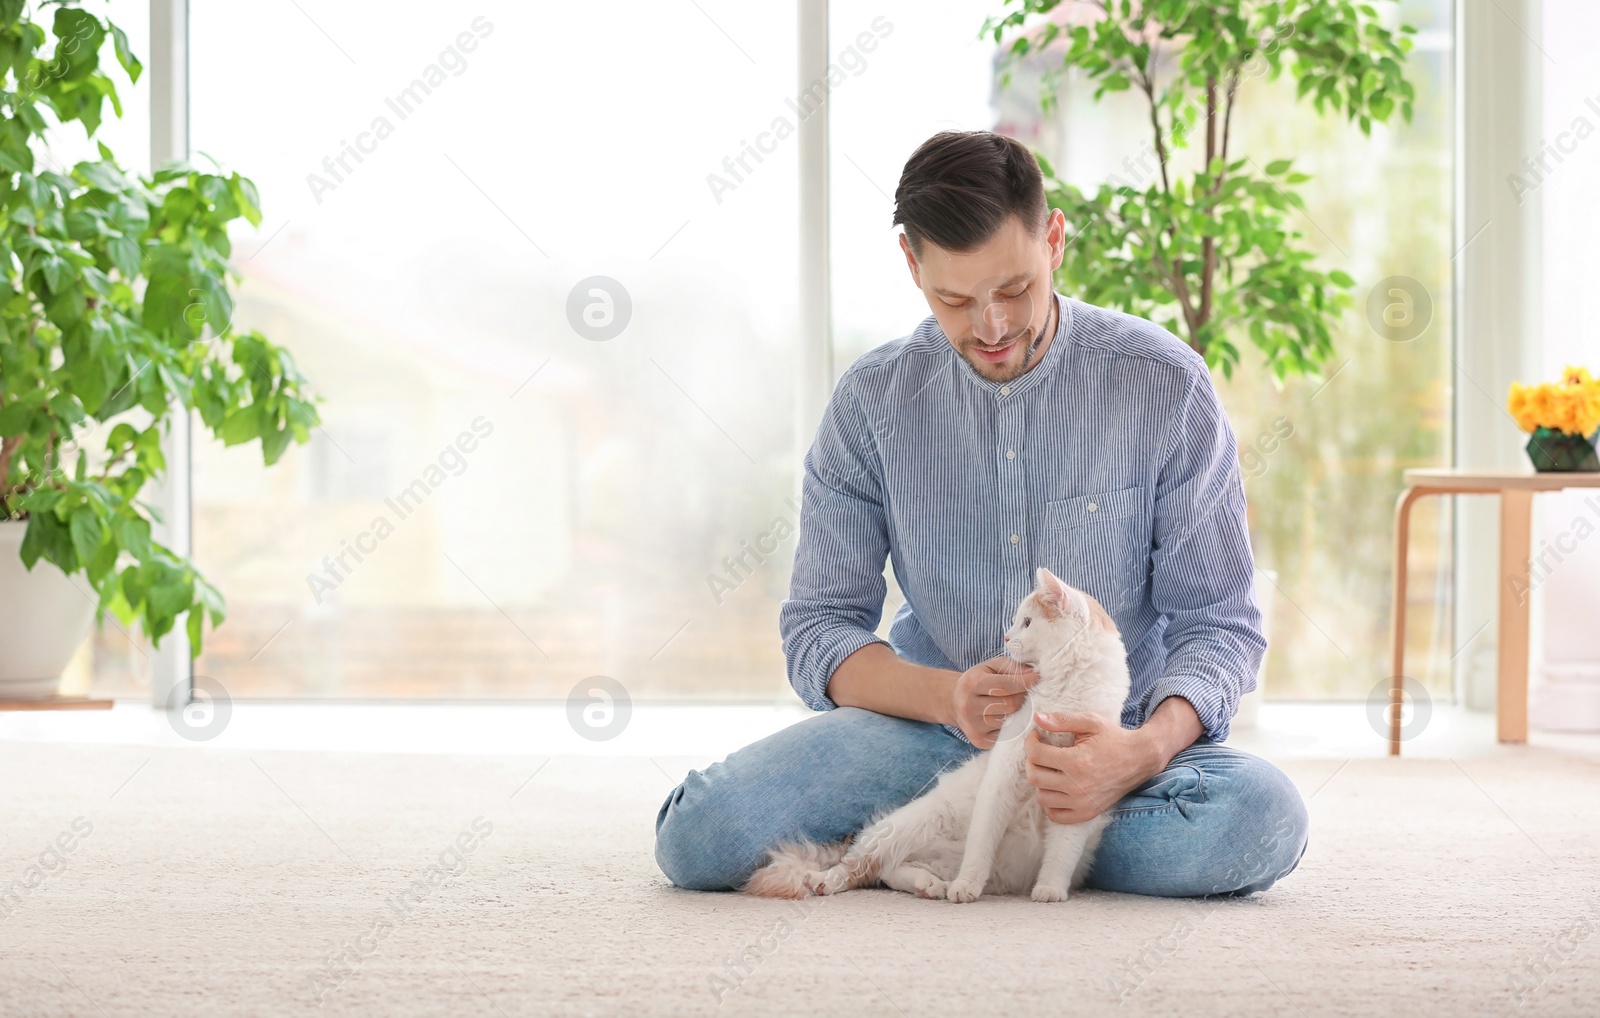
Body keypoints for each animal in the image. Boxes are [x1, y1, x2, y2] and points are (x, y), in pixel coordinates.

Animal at [742, 563, 1132, 909]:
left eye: (1027, 622)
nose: (1007, 638)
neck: (1066, 694)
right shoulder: (1001, 779)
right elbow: (981, 844)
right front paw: (967, 886)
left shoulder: (1077, 792)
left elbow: (1062, 854)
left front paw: (1050, 890)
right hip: (908, 825)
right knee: (861, 865)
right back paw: (828, 881)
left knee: (891, 872)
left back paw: (930, 886)